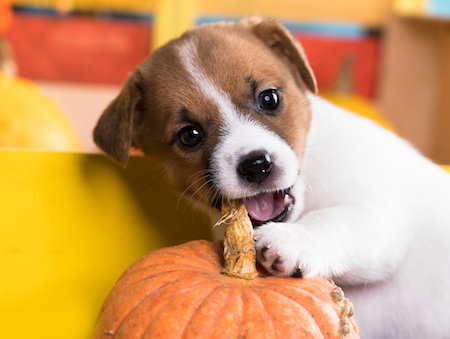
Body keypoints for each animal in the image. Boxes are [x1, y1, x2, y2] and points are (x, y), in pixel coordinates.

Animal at [93, 17, 450, 338]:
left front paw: (292, 239)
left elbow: (334, 219)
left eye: (269, 98)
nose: (256, 165)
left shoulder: (377, 217)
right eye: (189, 135)